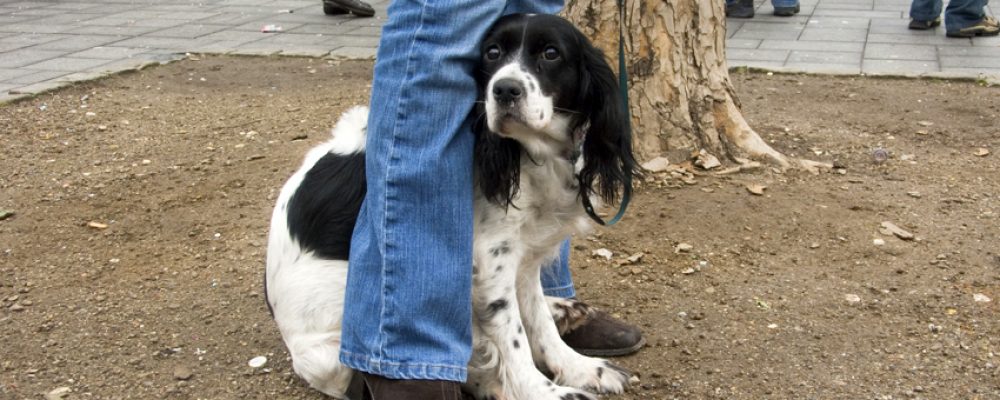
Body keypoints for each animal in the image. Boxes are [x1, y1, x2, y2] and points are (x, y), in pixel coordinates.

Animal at [265, 13, 640, 400]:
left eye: (551, 53)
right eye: (492, 52)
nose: (505, 90)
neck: (529, 155)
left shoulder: (524, 253)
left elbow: (537, 321)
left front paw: (580, 367)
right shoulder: (491, 257)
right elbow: (511, 336)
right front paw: (543, 391)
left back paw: (562, 309)